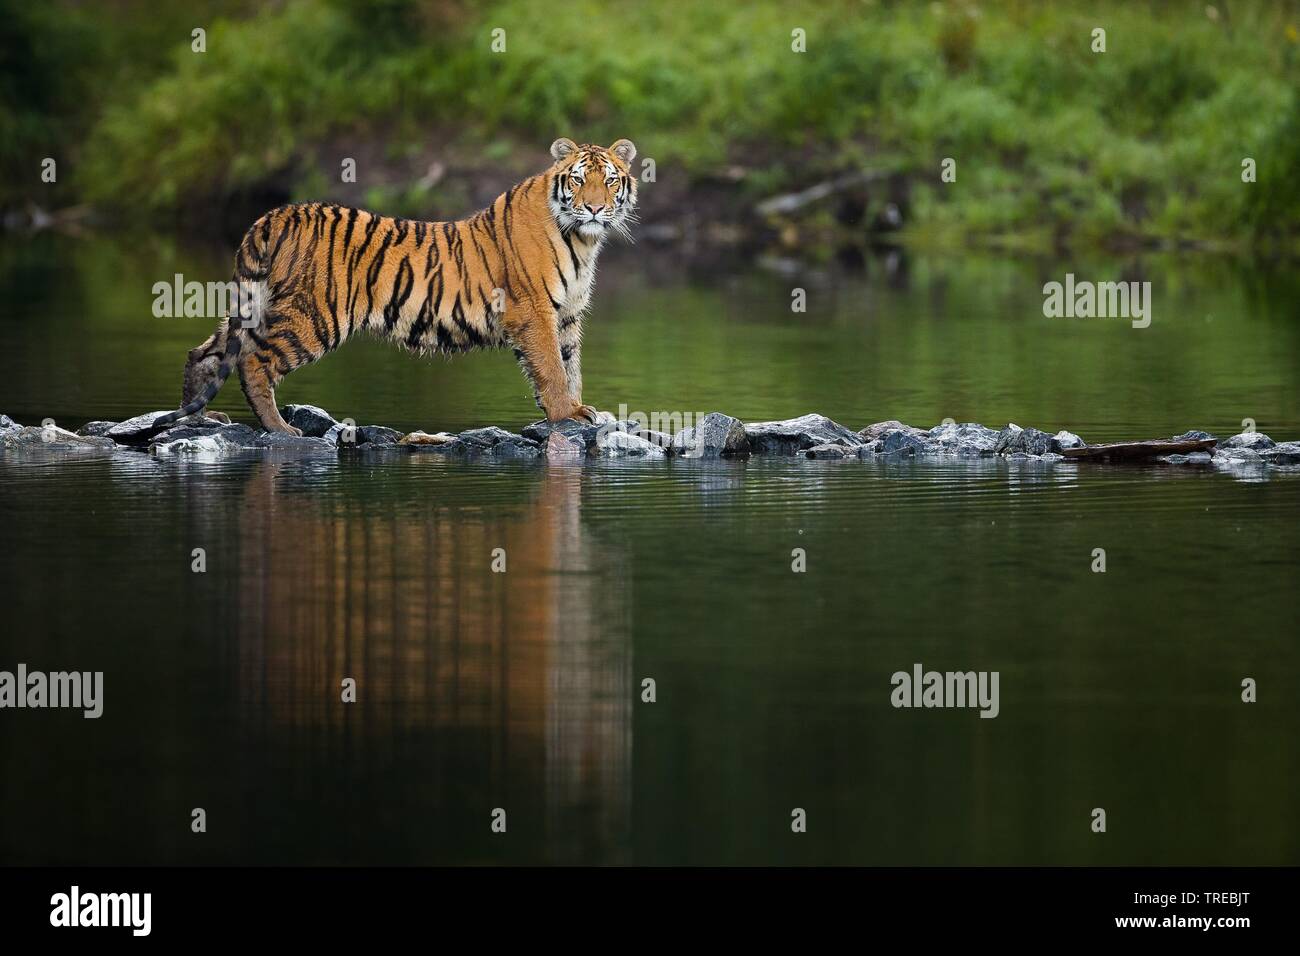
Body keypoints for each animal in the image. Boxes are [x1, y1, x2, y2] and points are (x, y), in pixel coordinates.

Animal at [159, 136, 637, 434]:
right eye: (578, 179)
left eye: (610, 180)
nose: (594, 208)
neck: (583, 240)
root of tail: (278, 213)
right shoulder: (533, 310)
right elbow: (552, 369)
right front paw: (565, 415)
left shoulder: (568, 314)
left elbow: (571, 366)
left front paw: (577, 409)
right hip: (315, 316)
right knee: (255, 361)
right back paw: (280, 429)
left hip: (257, 304)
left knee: (205, 353)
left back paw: (194, 419)